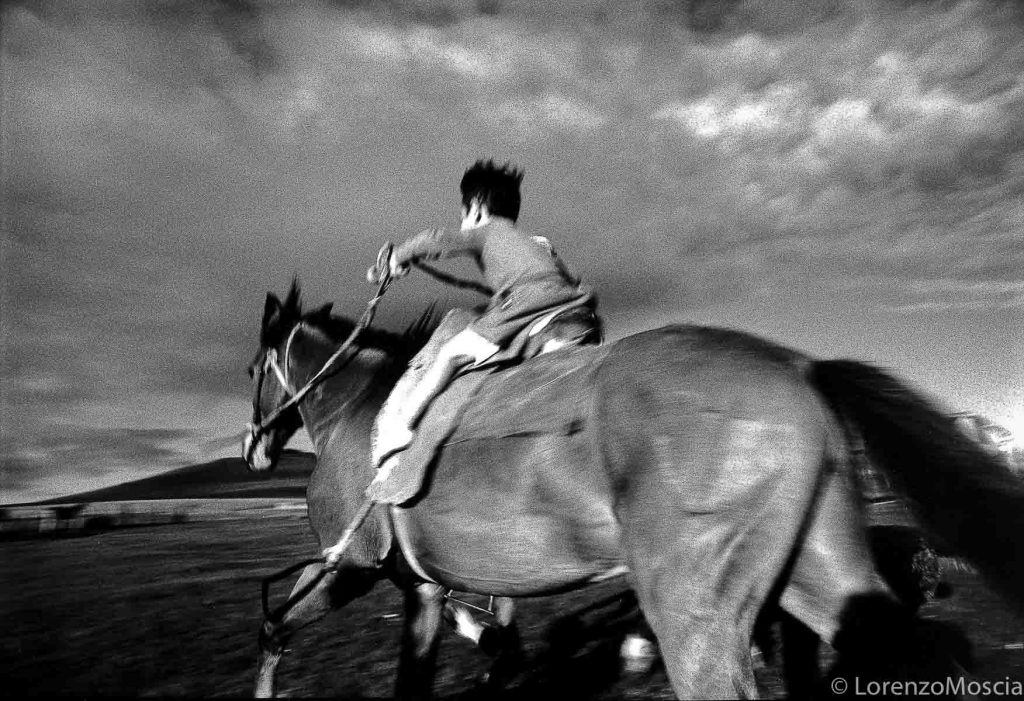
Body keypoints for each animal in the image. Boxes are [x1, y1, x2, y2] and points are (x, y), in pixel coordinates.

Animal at [243, 282, 1024, 699]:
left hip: (695, 601)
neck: (360, 407)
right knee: (922, 655)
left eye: (253, 368)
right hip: (817, 570)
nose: (252, 448)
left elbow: (275, 627)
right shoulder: (422, 587)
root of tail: (802, 366)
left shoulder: (352, 564)